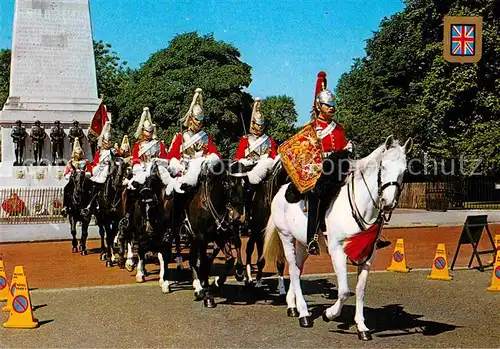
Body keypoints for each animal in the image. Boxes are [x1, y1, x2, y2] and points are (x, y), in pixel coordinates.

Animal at [264, 135, 412, 340]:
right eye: (383, 166)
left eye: (404, 171)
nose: (388, 203)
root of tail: (282, 189)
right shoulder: (337, 251)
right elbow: (343, 291)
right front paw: (329, 314)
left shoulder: (368, 255)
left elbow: (360, 290)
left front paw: (362, 327)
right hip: (286, 237)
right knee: (293, 270)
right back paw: (304, 314)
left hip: (303, 243)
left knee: (298, 269)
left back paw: (293, 305)